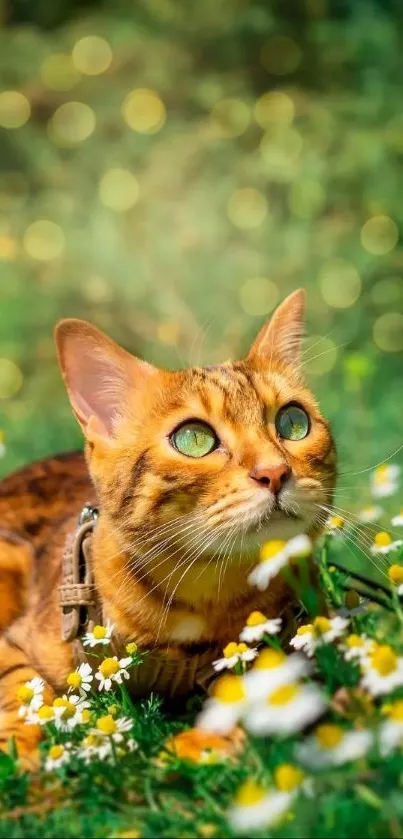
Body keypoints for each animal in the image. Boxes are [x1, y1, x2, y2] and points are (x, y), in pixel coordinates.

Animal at [0, 288, 336, 760]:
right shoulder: (17, 642)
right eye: (194, 439)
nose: (275, 472)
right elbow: (18, 689)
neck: (202, 597)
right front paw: (25, 748)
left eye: (293, 421)